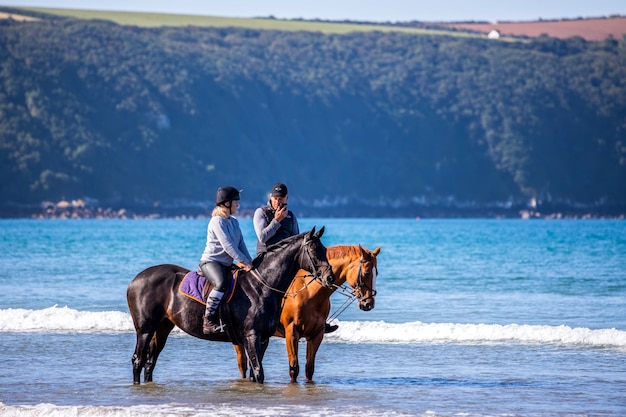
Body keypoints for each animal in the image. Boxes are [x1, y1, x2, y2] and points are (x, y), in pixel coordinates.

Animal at [123, 228, 334, 384]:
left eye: (324, 249)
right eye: (313, 250)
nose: (329, 277)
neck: (260, 286)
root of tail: (135, 280)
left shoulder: (262, 338)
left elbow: (254, 374)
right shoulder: (252, 336)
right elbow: (258, 372)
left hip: (163, 327)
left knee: (150, 361)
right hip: (145, 329)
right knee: (138, 360)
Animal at [234, 244, 380, 384]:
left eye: (376, 273)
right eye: (367, 272)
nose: (369, 304)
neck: (310, 292)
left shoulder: (316, 334)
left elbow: (309, 368)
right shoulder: (291, 333)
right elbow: (294, 368)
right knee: (242, 364)